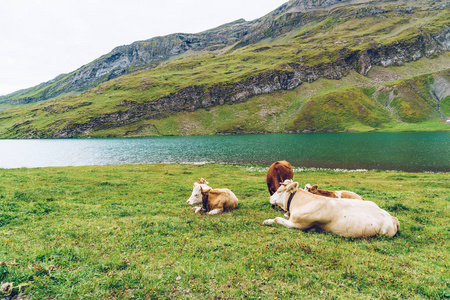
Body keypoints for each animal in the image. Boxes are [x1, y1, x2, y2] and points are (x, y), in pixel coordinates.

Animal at [264, 179, 400, 238]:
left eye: (279, 191)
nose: (270, 198)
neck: (301, 202)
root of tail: (392, 218)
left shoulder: (297, 224)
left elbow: (277, 219)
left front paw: (267, 221)